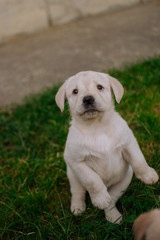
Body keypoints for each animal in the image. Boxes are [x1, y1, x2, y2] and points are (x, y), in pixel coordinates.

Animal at [55, 71, 159, 223]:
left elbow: (139, 160)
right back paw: (78, 208)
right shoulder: (77, 161)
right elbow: (93, 180)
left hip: (123, 181)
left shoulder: (128, 143)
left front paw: (148, 176)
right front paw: (100, 198)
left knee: (112, 200)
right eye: (75, 91)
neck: (97, 126)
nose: (88, 99)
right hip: (73, 176)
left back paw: (113, 216)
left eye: (99, 87)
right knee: (78, 192)